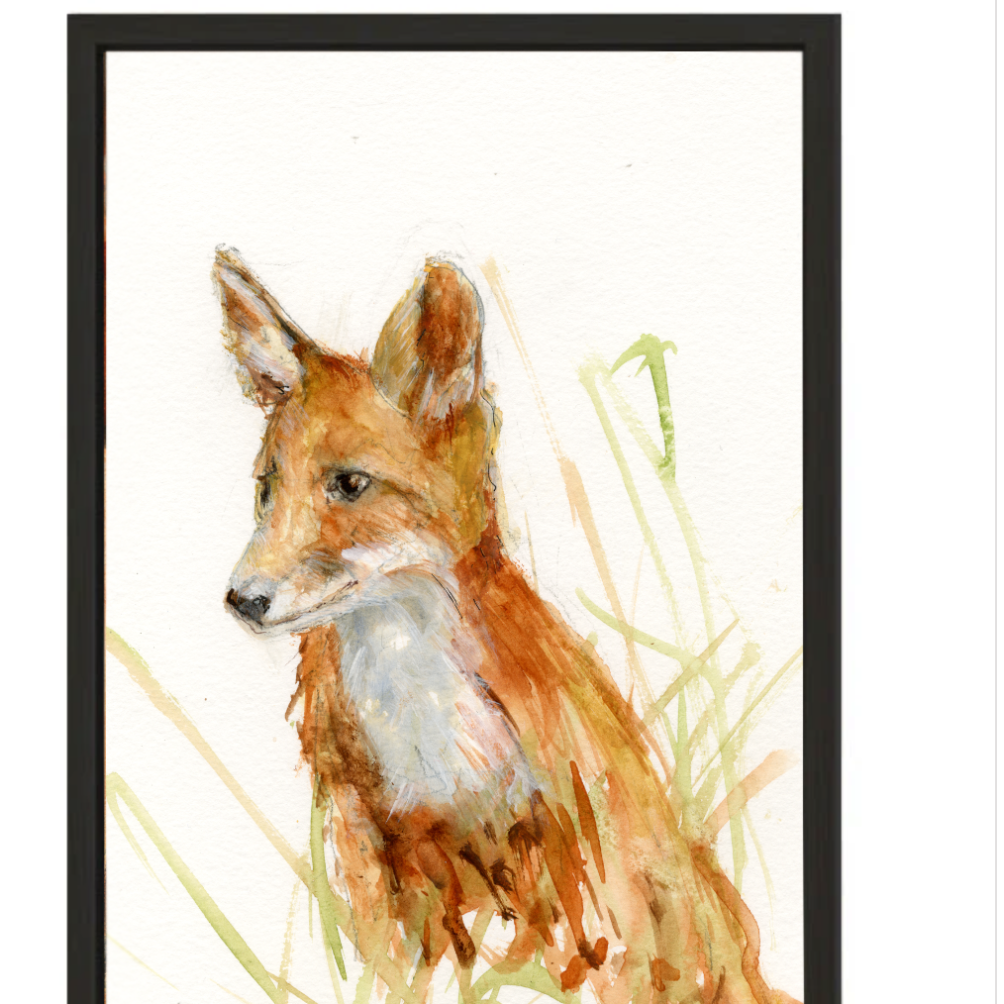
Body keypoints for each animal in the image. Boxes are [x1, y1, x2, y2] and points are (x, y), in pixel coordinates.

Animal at [212, 247, 792, 1004]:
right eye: (266, 489)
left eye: (350, 485)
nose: (241, 599)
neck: (418, 728)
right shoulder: (370, 845)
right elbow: (387, 968)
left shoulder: (553, 852)